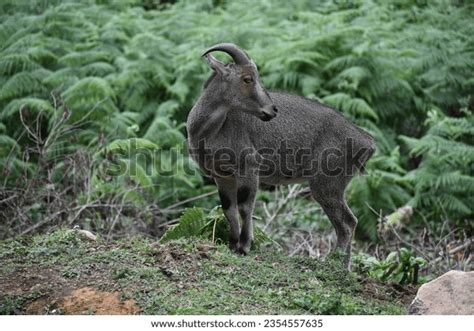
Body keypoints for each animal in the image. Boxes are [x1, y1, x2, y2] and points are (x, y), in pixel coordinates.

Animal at [187, 44, 376, 268]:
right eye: (248, 78)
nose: (272, 109)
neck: (209, 131)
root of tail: (366, 141)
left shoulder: (249, 168)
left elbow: (245, 208)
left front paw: (244, 246)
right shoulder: (222, 176)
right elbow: (229, 209)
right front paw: (233, 245)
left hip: (327, 185)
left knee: (347, 222)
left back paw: (337, 266)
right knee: (347, 222)